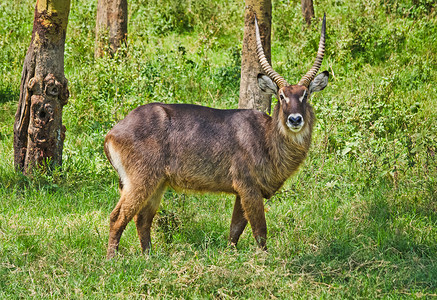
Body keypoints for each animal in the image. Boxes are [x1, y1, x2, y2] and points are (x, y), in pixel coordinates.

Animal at [103, 14, 328, 258]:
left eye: (305, 95)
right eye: (281, 96)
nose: (295, 120)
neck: (266, 137)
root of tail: (112, 133)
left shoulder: (242, 191)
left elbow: (235, 229)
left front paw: (231, 255)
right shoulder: (248, 187)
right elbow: (260, 230)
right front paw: (265, 259)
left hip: (158, 184)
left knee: (143, 219)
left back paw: (149, 256)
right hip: (140, 180)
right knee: (117, 217)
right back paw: (113, 259)